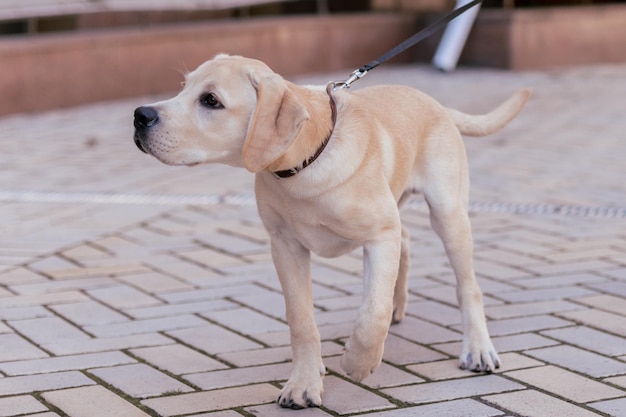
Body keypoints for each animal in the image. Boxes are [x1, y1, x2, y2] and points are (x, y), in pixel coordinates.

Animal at [134, 53, 528, 408]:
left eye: (211, 101)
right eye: (183, 87)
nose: (140, 115)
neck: (307, 162)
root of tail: (437, 104)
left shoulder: (379, 235)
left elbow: (372, 314)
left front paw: (358, 361)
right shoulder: (285, 246)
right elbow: (302, 321)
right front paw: (303, 383)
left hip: (448, 215)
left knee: (467, 287)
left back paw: (477, 348)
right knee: (406, 242)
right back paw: (400, 305)